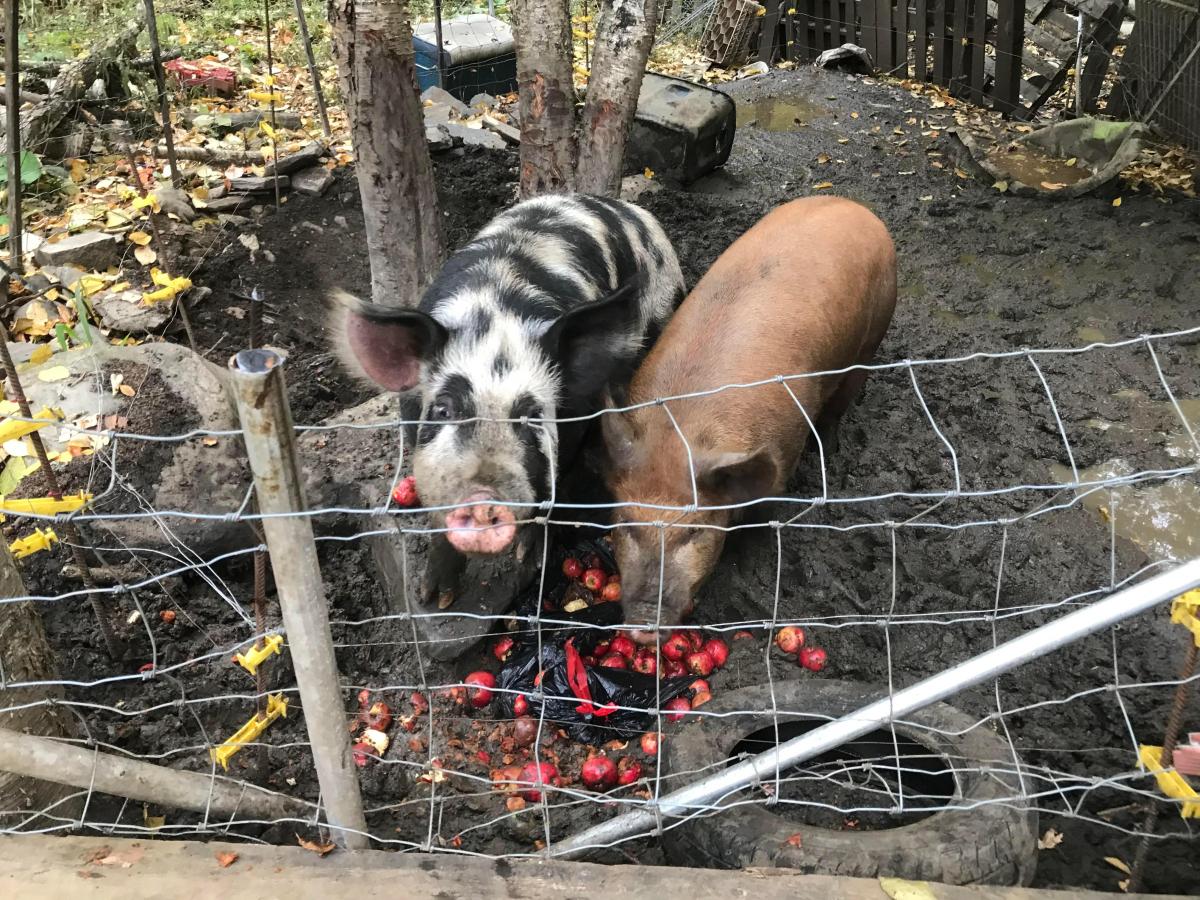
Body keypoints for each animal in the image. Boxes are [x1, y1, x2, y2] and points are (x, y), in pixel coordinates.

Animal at [330, 194, 685, 606]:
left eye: (532, 416)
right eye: (443, 409)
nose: (483, 499)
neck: (494, 312)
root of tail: (632, 209)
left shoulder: (573, 420)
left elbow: (552, 482)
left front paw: (527, 557)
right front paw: (434, 598)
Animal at [600, 196, 896, 637]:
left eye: (695, 531)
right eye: (626, 524)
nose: (643, 623)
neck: (682, 433)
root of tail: (853, 205)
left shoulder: (783, 457)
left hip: (872, 337)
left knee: (842, 402)